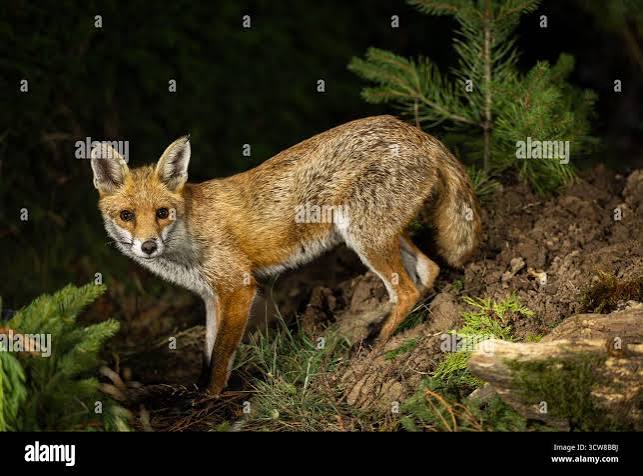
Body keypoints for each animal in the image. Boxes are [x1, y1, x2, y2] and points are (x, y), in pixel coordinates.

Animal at [90, 115, 481, 395]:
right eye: (126, 215)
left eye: (162, 213)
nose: (148, 246)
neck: (186, 240)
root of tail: (417, 132)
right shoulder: (211, 297)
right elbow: (207, 352)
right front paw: (198, 391)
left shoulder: (238, 288)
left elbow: (221, 356)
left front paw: (211, 398)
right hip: (381, 233)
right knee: (429, 270)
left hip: (363, 236)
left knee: (406, 291)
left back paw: (374, 346)